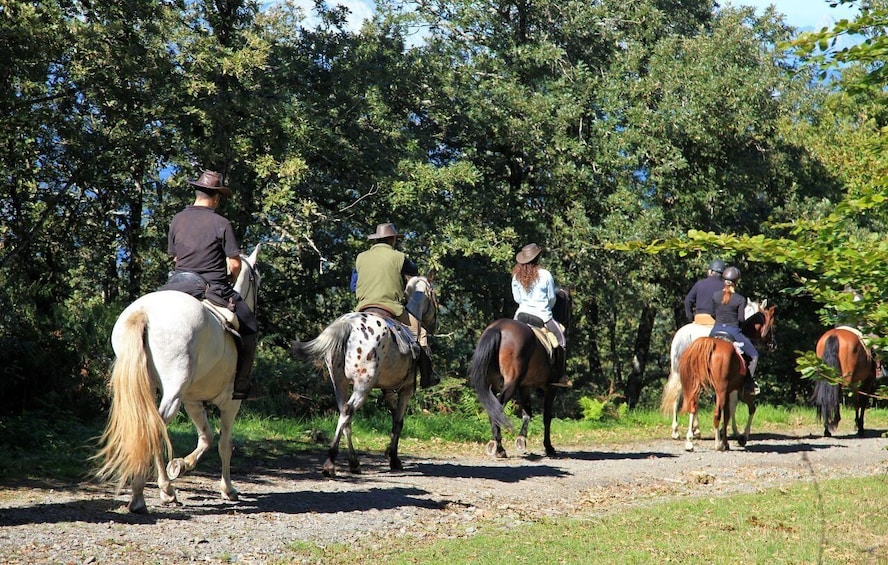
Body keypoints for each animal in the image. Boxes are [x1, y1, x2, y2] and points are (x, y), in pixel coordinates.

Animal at [93, 245, 260, 512]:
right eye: (257, 281)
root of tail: (144, 312)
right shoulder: (231, 402)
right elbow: (224, 444)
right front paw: (227, 489)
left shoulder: (192, 401)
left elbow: (206, 437)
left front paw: (181, 465)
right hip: (173, 394)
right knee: (155, 429)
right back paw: (146, 494)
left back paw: (162, 490)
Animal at [292, 276, 438, 478]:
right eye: (434, 296)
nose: (435, 325)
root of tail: (347, 324)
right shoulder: (406, 390)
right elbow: (398, 422)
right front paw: (394, 458)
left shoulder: (387, 390)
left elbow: (394, 418)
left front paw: (390, 453)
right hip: (363, 385)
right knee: (348, 410)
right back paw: (330, 462)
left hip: (339, 382)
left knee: (344, 414)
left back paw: (353, 462)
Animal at [468, 288, 572, 456]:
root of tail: (498, 328)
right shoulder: (550, 387)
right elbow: (547, 417)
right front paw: (549, 447)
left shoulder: (525, 386)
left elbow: (527, 412)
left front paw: (521, 439)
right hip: (511, 382)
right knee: (498, 404)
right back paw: (499, 447)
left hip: (493, 381)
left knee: (492, 406)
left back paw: (497, 445)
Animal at [660, 300, 776, 446]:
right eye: (771, 325)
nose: (773, 345)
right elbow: (732, 404)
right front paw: (733, 431)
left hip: (680, 373)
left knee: (681, 398)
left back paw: (680, 431)